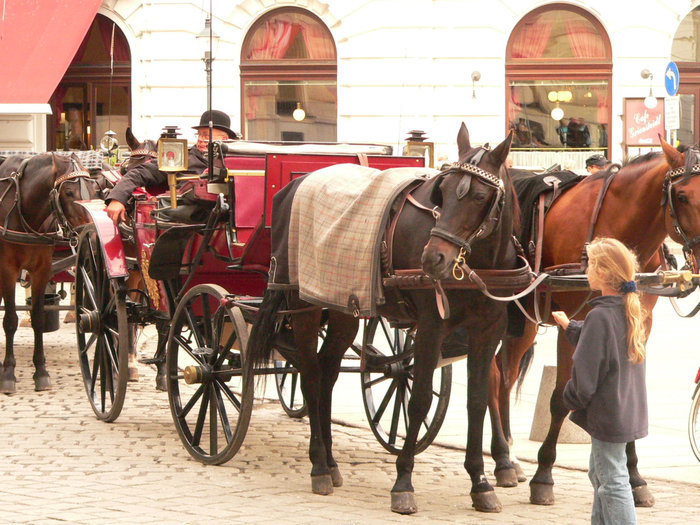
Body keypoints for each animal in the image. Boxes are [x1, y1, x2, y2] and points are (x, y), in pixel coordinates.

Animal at [0, 150, 100, 388]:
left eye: (94, 189)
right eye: (69, 192)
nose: (91, 237)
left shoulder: (41, 269)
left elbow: (38, 318)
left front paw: (41, 371)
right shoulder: (7, 270)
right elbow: (10, 320)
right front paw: (8, 372)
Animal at [249, 124, 524, 516]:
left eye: (480, 196)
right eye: (443, 193)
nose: (433, 258)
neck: (476, 264)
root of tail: (294, 186)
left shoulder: (488, 333)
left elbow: (477, 402)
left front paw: (480, 482)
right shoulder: (431, 328)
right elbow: (420, 399)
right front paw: (403, 481)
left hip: (342, 308)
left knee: (327, 373)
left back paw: (330, 461)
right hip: (304, 306)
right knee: (310, 375)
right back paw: (319, 465)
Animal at [490, 137, 700, 506]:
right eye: (684, 196)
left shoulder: (640, 323)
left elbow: (630, 393)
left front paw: (635, 478)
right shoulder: (573, 322)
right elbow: (561, 397)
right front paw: (544, 476)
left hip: (523, 323)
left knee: (505, 374)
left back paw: (509, 461)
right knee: (490, 376)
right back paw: (503, 458)